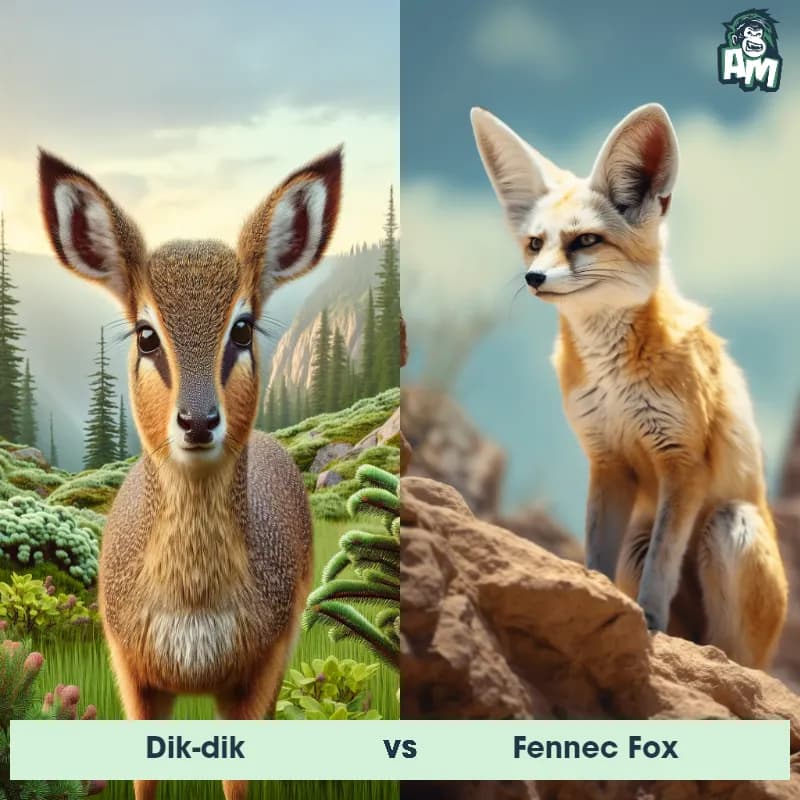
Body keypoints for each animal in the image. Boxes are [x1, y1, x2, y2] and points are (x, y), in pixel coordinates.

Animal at [38, 145, 342, 800]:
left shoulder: (258, 673)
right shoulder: (133, 676)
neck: (194, 611)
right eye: (146, 333)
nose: (198, 420)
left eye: (243, 327)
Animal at [470, 102, 787, 669]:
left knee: (735, 655)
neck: (614, 376)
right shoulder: (608, 460)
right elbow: (596, 553)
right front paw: (590, 601)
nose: (533, 278)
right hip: (639, 536)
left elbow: (663, 563)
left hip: (730, 524)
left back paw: (712, 658)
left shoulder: (683, 463)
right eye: (535, 243)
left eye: (585, 241)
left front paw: (649, 622)